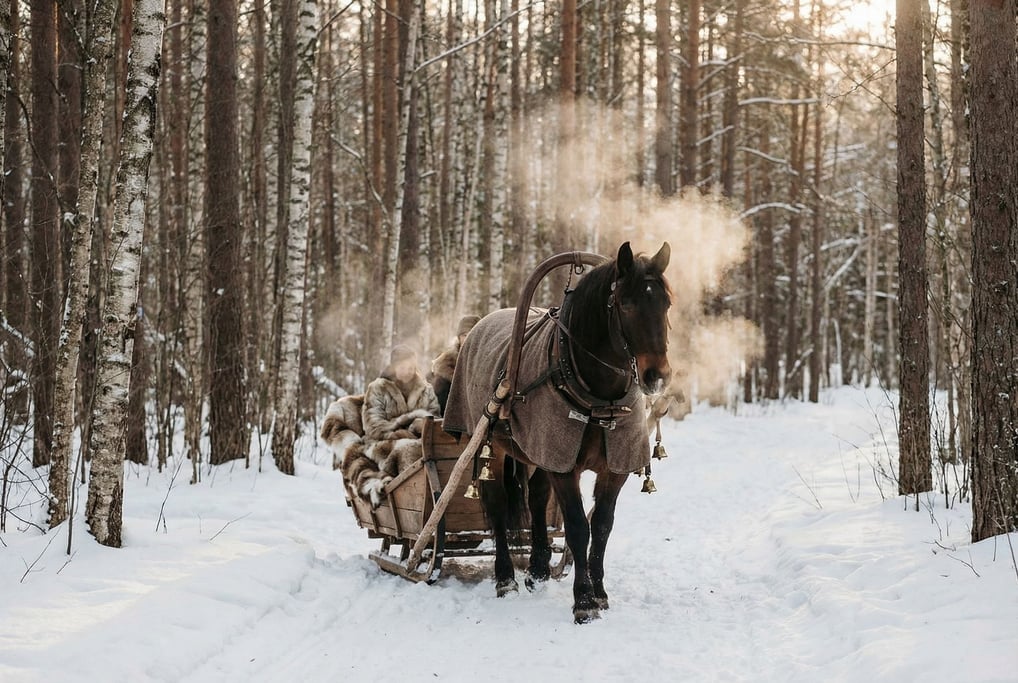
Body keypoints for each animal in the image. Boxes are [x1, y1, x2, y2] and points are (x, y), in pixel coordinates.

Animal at [443, 242, 672, 623]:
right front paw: (584, 602)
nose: (658, 376)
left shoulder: (610, 466)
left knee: (536, 498)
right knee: (498, 505)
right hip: (494, 444)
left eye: (666, 303)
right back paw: (506, 579)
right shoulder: (565, 467)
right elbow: (578, 526)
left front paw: (600, 592)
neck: (598, 397)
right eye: (626, 304)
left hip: (539, 450)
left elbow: (602, 526)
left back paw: (537, 568)